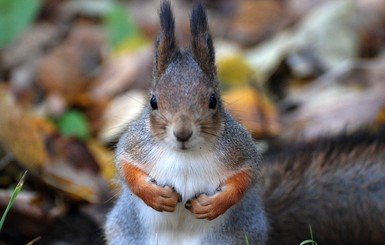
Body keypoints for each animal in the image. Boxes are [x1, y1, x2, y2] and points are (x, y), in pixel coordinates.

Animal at [105, 1, 268, 245]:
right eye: (153, 101)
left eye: (213, 100)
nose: (182, 133)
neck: (185, 155)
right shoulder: (136, 144)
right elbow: (125, 166)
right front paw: (155, 196)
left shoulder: (239, 149)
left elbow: (247, 176)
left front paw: (214, 205)